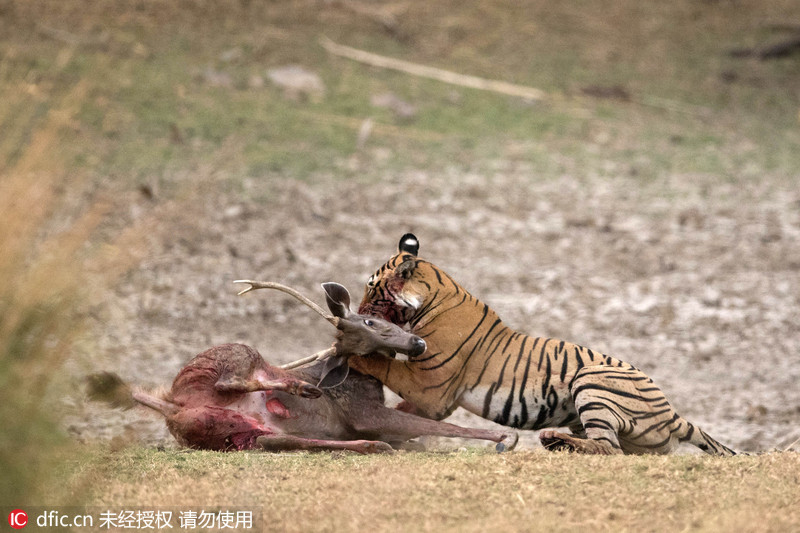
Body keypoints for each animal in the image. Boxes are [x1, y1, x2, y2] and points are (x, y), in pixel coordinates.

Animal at [89, 278, 520, 454]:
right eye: (368, 323)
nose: (416, 342)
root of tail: (173, 407)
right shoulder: (365, 412)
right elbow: (439, 424)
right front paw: (503, 436)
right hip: (230, 357)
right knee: (237, 378)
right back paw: (300, 389)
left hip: (235, 434)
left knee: (277, 439)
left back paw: (367, 445)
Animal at [350, 231, 736, 456]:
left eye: (371, 287)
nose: (358, 309)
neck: (433, 293)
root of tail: (673, 413)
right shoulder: (438, 400)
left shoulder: (430, 386)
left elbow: (381, 363)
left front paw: (350, 351)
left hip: (591, 378)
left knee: (608, 448)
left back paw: (555, 441)